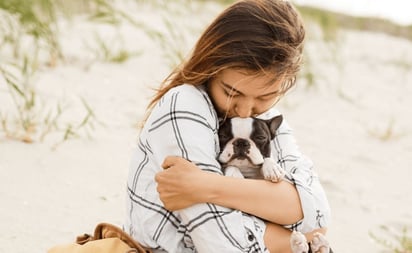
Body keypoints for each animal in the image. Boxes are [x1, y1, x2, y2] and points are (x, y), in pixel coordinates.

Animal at [217, 115, 330, 253]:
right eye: (222, 136)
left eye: (260, 137)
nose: (241, 142)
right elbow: (228, 166)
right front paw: (234, 173)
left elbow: (268, 159)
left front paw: (272, 168)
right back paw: (304, 244)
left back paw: (319, 245)